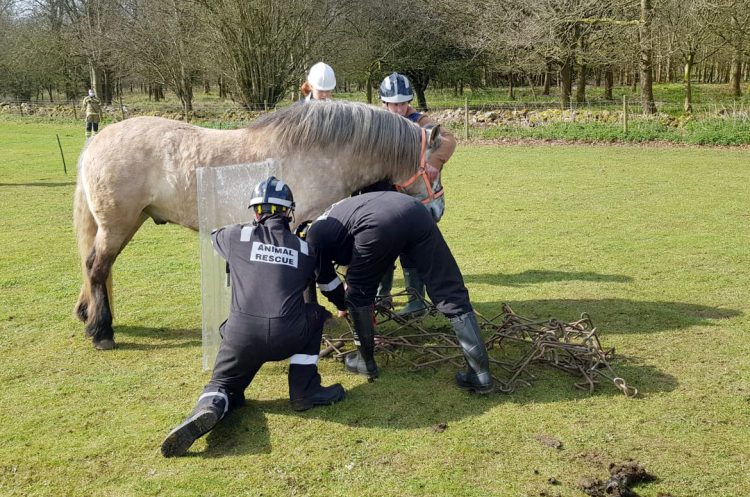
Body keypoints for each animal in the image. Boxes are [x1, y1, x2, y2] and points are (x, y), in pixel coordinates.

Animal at [73, 100, 442, 350]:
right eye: (435, 168)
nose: (437, 210)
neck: (317, 153)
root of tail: (97, 141)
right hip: (117, 226)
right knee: (96, 268)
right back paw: (102, 332)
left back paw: (88, 315)